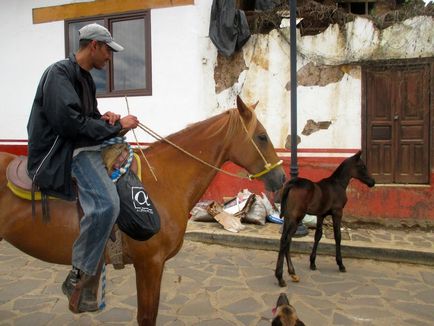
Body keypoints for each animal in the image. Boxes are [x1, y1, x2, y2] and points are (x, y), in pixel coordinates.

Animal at [276, 150, 374, 286]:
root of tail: (291, 184)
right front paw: (340, 264)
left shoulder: (321, 215)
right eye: (363, 166)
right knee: (286, 240)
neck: (338, 184)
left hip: (288, 217)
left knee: (286, 240)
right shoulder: (337, 212)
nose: (372, 182)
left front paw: (312, 263)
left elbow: (318, 235)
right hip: (296, 217)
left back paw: (292, 273)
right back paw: (281, 277)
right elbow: (337, 236)